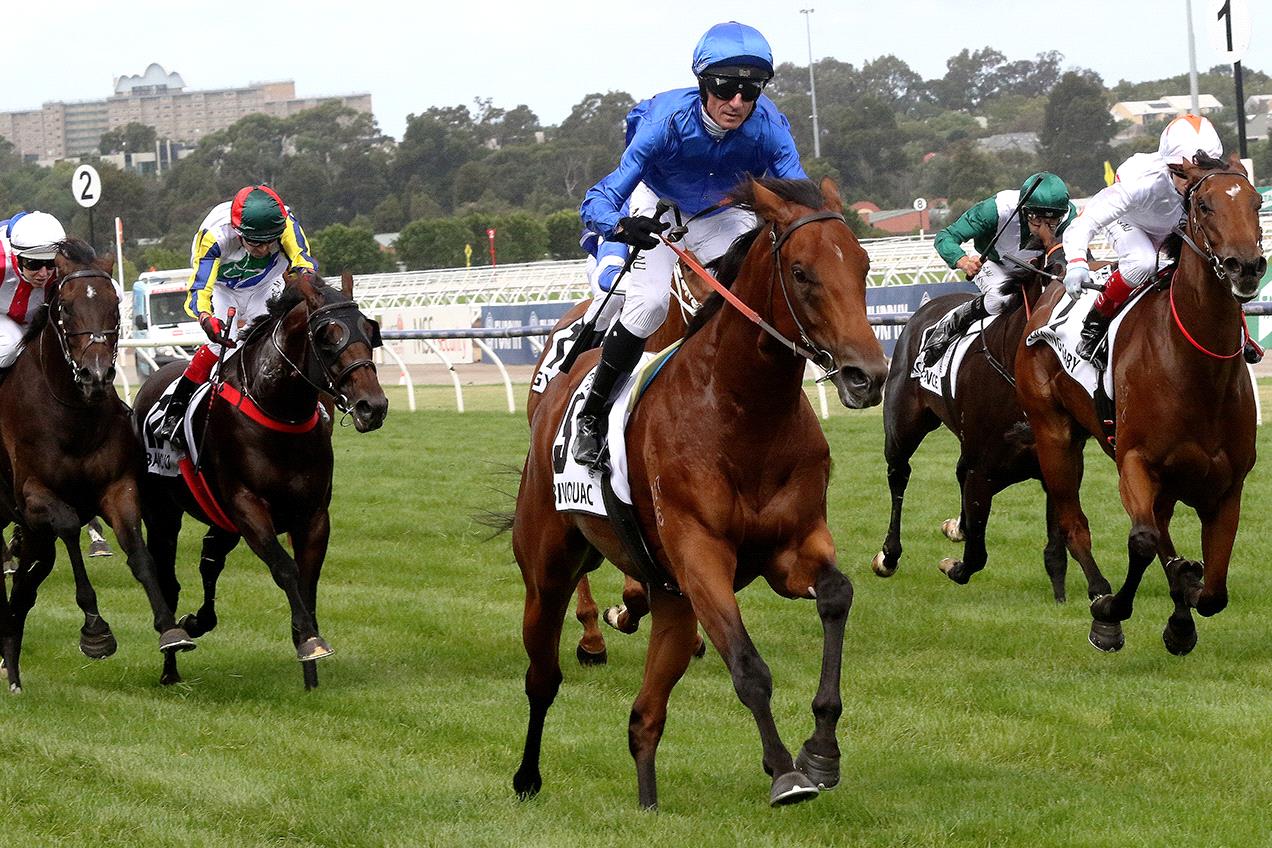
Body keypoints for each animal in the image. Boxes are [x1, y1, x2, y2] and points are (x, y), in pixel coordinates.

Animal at [0, 241, 193, 691]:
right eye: (66, 307)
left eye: (114, 303)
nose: (97, 373)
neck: (72, 417)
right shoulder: (34, 496)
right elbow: (70, 525)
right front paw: (95, 630)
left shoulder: (118, 488)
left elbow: (138, 552)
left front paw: (169, 629)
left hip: (32, 536)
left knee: (25, 586)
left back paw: (12, 667)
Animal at [132, 272, 386, 691]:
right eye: (327, 335)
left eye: (370, 330)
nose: (373, 406)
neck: (279, 409)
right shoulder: (248, 508)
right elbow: (285, 569)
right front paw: (310, 643)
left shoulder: (314, 516)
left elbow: (307, 582)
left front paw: (310, 669)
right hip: (162, 513)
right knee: (168, 579)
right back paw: (171, 663)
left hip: (220, 519)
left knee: (210, 561)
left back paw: (197, 621)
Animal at [511, 177, 890, 808]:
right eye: (802, 272)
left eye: (862, 265)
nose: (868, 376)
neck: (742, 414)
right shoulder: (700, 552)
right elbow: (749, 665)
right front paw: (785, 772)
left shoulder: (792, 547)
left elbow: (837, 595)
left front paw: (821, 750)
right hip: (547, 571)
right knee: (543, 678)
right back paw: (527, 776)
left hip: (673, 600)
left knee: (644, 716)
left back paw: (647, 802)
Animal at [870, 232, 1078, 600]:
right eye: (1053, 274)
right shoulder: (984, 466)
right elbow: (977, 554)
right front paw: (953, 564)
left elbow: (1056, 551)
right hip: (902, 427)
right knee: (899, 474)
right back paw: (889, 556)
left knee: (956, 470)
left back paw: (956, 526)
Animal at [1012, 154, 1261, 656]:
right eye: (1204, 205)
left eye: (1257, 202)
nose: (1246, 266)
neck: (1196, 370)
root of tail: (1048, 290)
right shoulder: (1134, 461)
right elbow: (1144, 541)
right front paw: (1112, 613)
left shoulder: (1227, 487)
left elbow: (1213, 589)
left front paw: (1185, 607)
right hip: (1055, 435)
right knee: (1074, 523)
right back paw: (1099, 593)